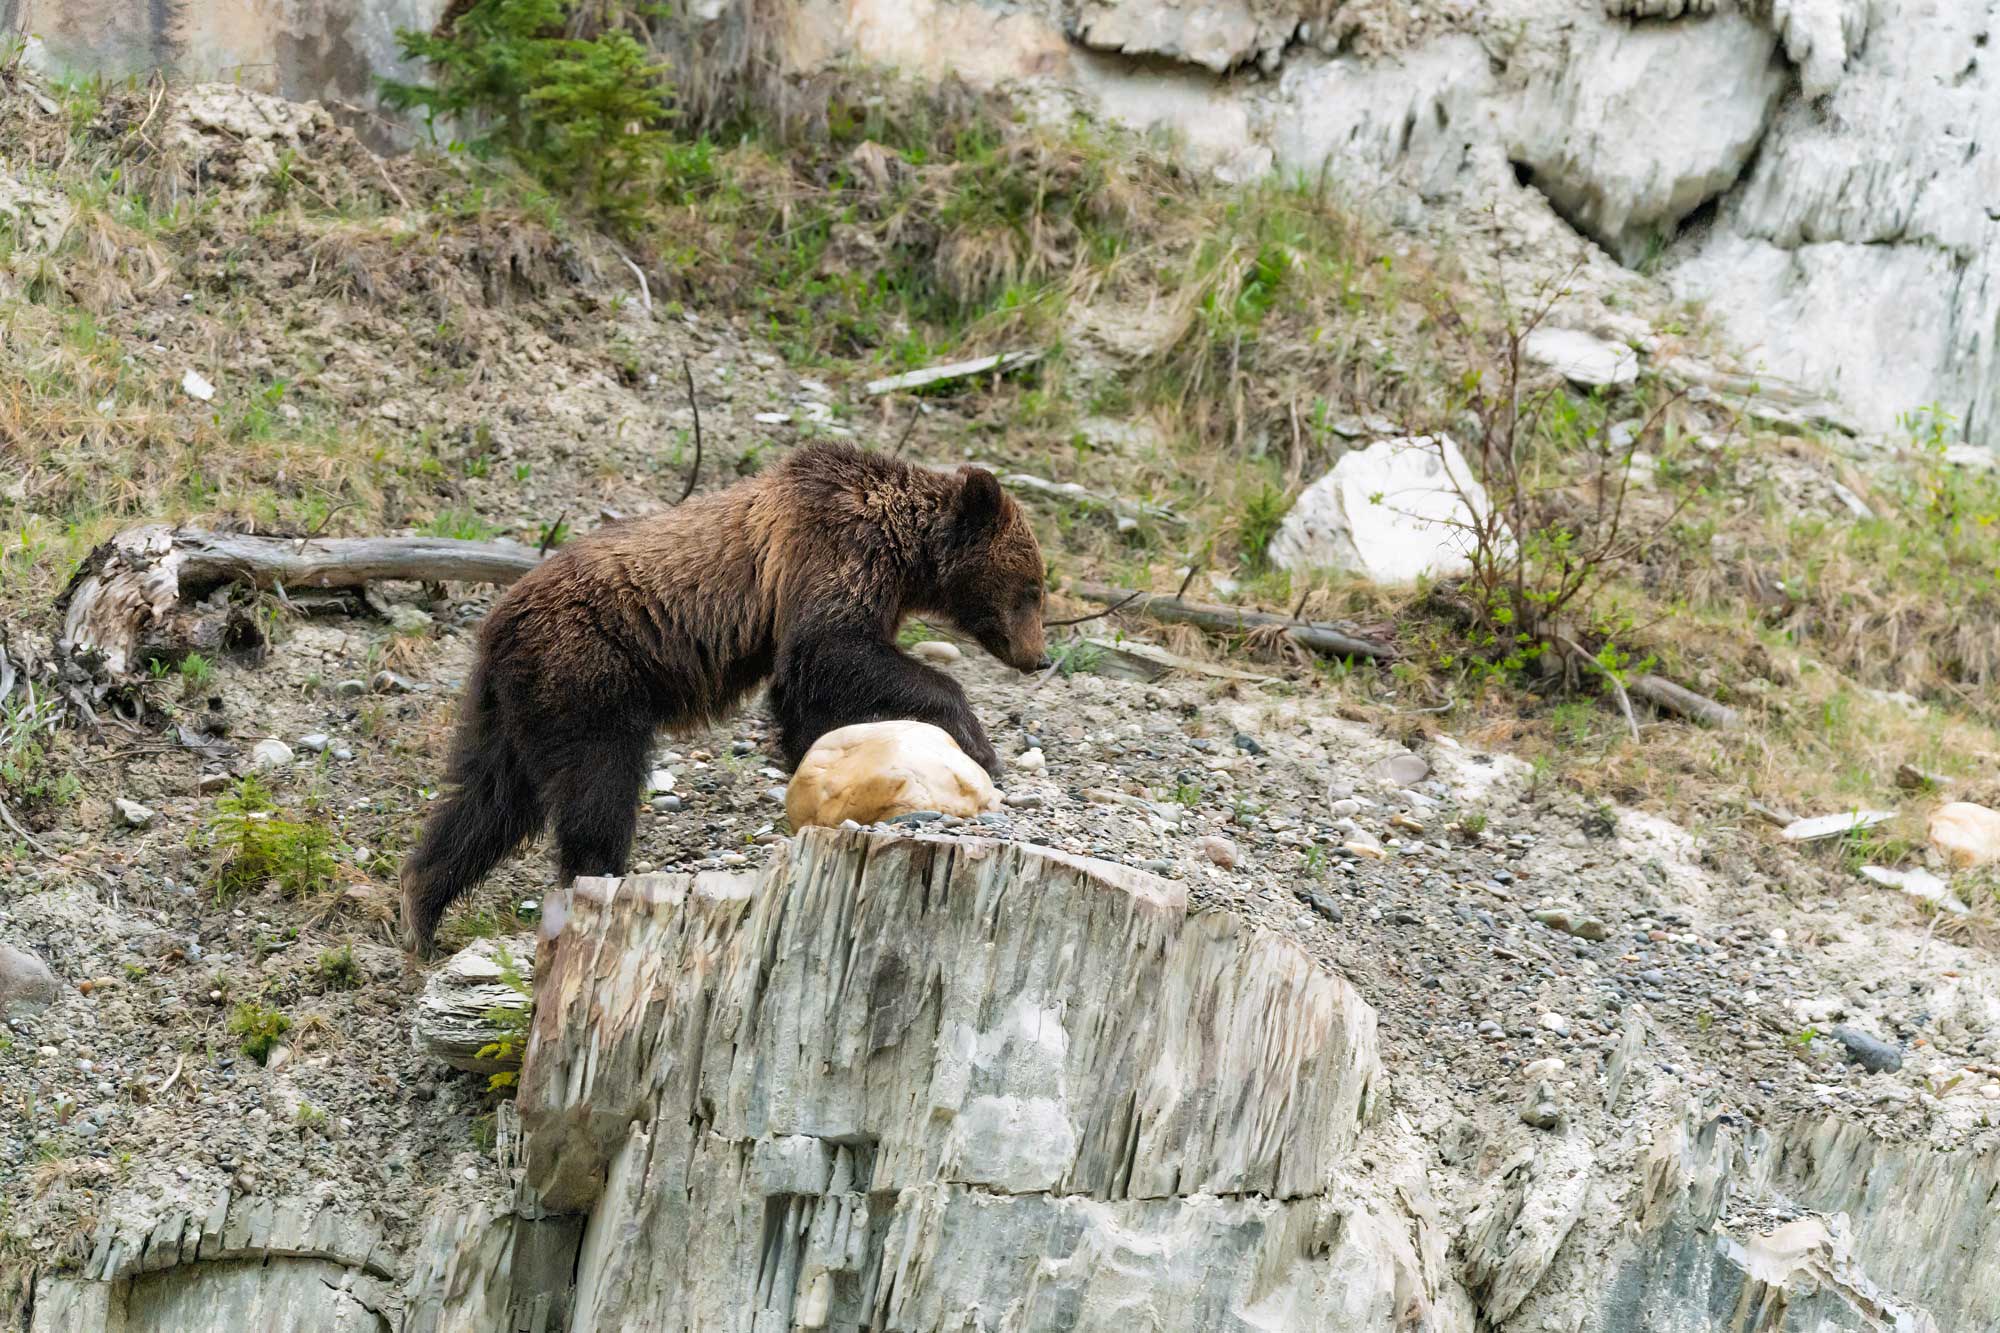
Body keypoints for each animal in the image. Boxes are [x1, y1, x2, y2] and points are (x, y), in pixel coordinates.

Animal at [397, 440, 1048, 954]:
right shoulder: (834, 550)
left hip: (518, 702)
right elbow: (832, 646)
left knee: (489, 799)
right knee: (596, 784)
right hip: (586, 669)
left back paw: (423, 907)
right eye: (1033, 588)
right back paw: (598, 875)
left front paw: (814, 767)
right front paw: (978, 741)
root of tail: (497, 623)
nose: (1039, 657)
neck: (904, 551)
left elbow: (804, 689)